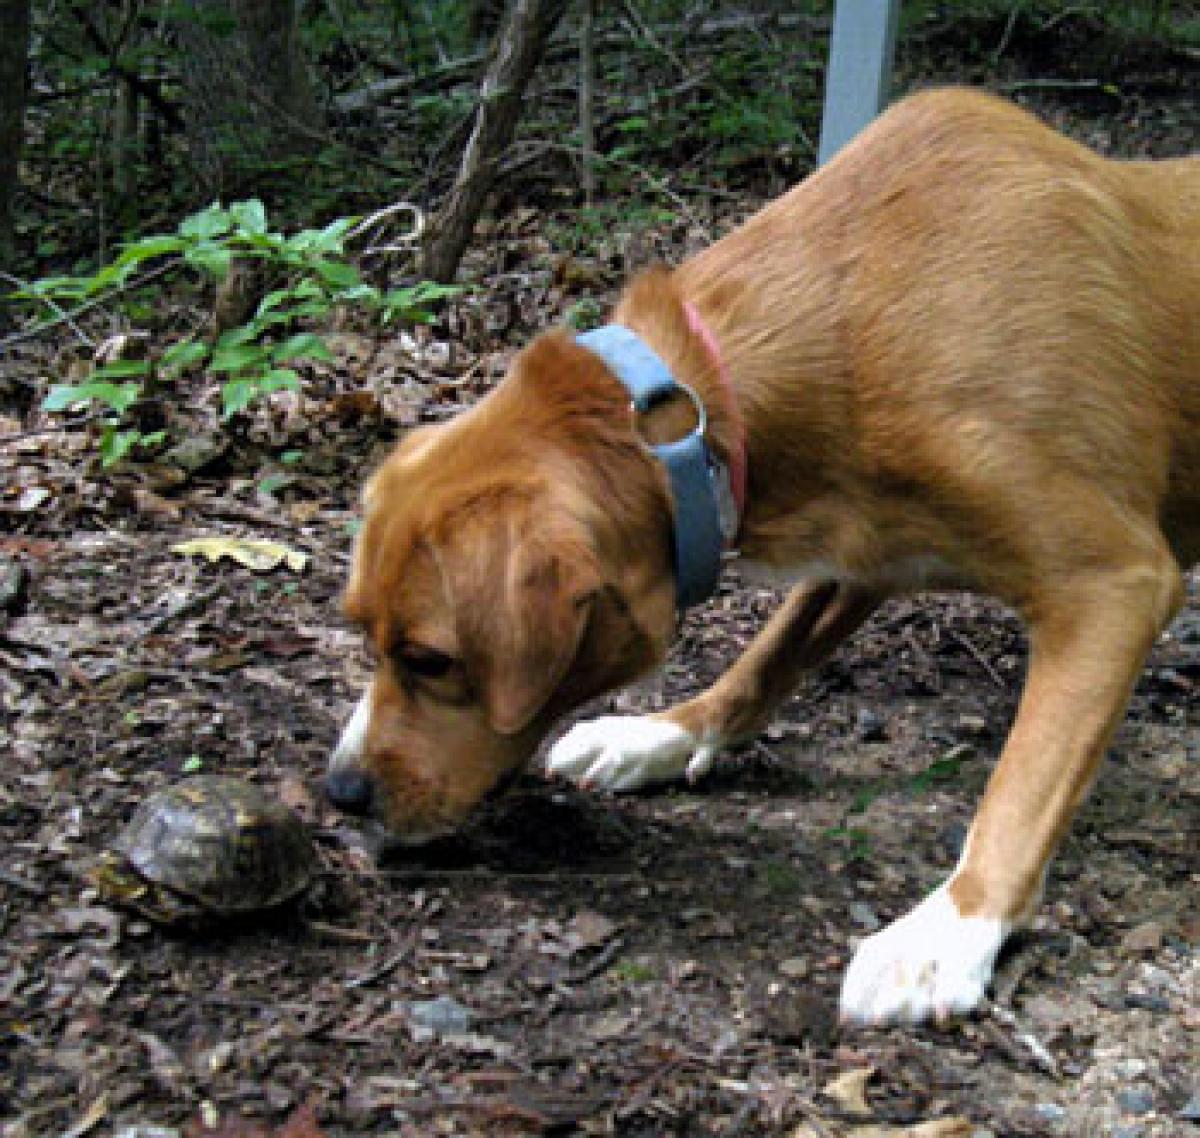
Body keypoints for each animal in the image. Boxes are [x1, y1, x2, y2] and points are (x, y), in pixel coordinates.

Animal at [326, 93, 1200, 1027]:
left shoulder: (1113, 585)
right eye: (364, 635)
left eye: (430, 659)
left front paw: (952, 927)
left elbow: (1024, 784)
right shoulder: (867, 553)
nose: (340, 794)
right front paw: (662, 732)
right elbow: (764, 661)